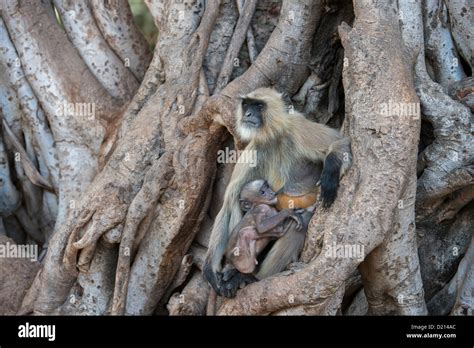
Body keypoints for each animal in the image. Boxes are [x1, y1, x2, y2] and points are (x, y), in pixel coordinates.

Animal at [204, 87, 352, 296]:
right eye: (246, 105)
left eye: (258, 106)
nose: (248, 115)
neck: (274, 135)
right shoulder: (255, 148)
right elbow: (229, 201)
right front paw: (210, 268)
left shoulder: (298, 126)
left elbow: (340, 142)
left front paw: (329, 179)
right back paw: (235, 269)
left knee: (298, 223)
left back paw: (252, 277)